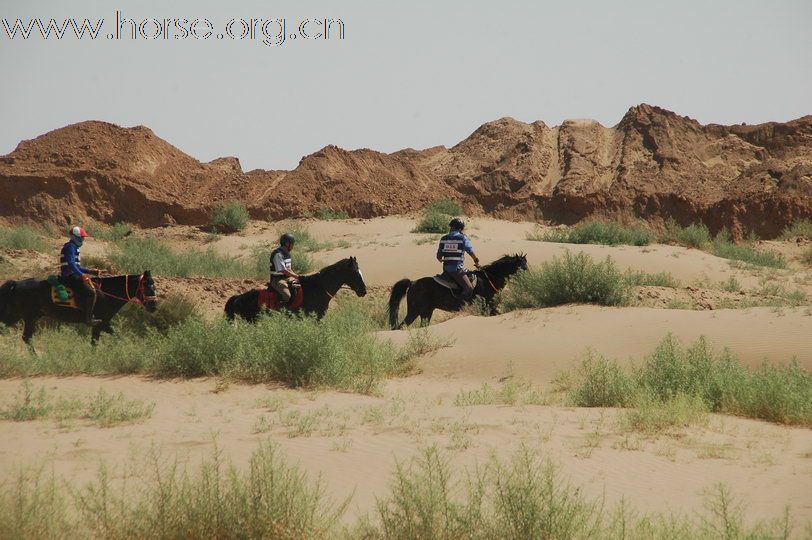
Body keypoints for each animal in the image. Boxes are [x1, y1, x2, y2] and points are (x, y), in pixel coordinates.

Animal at [0, 272, 158, 344]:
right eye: (148, 287)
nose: (154, 306)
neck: (106, 293)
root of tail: (16, 284)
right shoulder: (100, 323)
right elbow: (96, 342)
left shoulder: (105, 324)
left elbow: (116, 337)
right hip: (27, 316)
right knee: (25, 337)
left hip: (21, 316)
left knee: (22, 336)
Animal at [388, 253, 528, 330]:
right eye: (520, 266)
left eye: (526, 265)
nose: (528, 277)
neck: (488, 278)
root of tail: (412, 283)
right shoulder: (488, 305)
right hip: (414, 311)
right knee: (401, 326)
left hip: (426, 312)